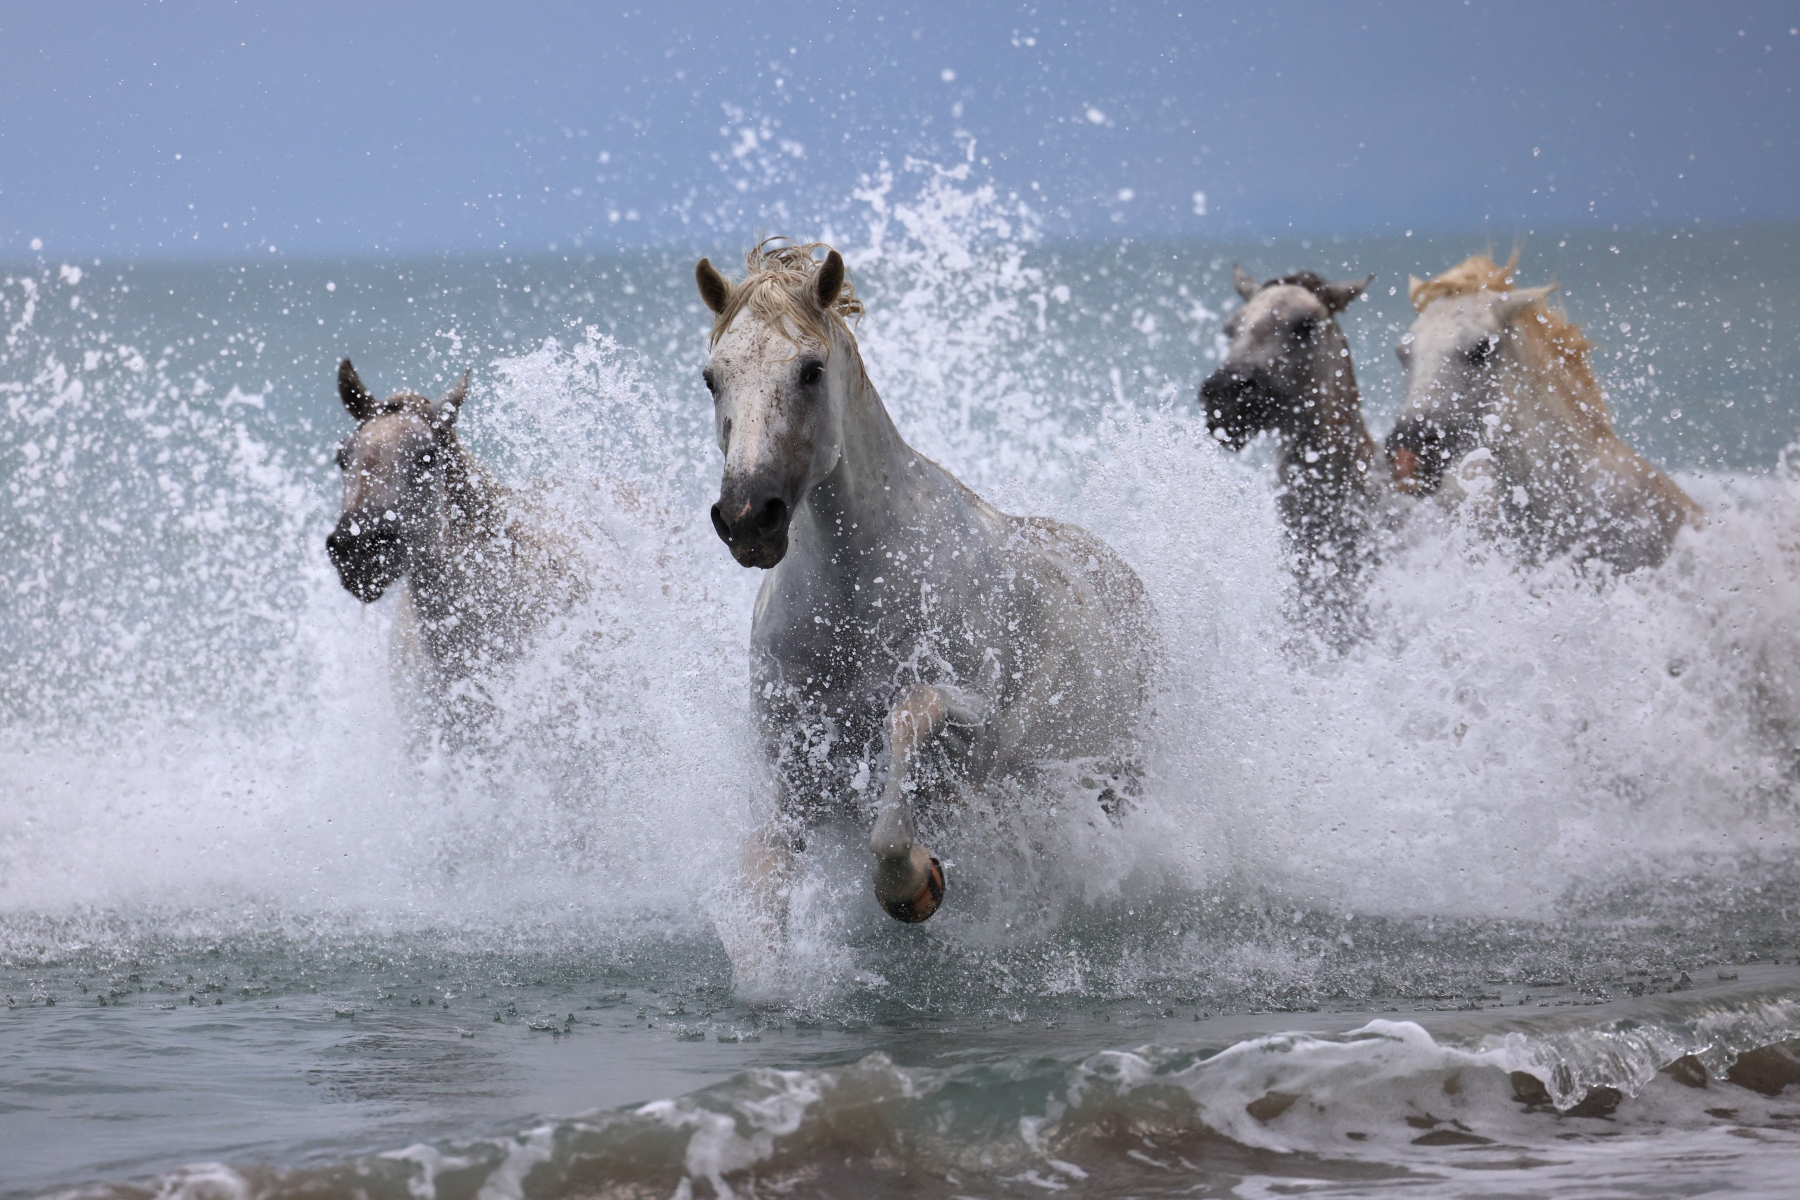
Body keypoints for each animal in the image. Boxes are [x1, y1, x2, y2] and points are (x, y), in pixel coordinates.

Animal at [694, 239, 1152, 925]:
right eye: (712, 377)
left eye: (811, 370)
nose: (749, 517)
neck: (856, 600)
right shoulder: (793, 779)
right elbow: (760, 885)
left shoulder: (980, 724)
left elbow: (910, 719)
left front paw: (913, 882)